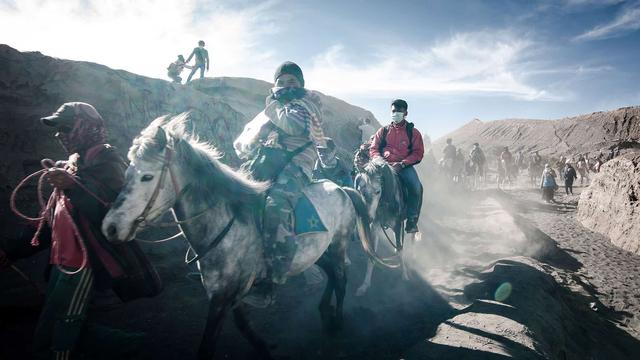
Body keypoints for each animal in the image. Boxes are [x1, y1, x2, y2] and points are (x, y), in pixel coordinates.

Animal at [102, 114, 388, 358]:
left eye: (147, 176)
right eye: (127, 172)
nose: (111, 227)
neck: (226, 223)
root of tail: (342, 189)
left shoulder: (221, 297)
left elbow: (208, 345)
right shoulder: (231, 292)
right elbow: (243, 326)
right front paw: (263, 348)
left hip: (338, 245)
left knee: (341, 279)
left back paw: (337, 321)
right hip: (317, 252)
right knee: (330, 273)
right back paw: (324, 310)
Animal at [350, 157, 416, 296]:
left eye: (378, 191)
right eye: (360, 189)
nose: (368, 217)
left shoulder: (397, 226)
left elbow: (401, 250)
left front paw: (405, 275)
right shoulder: (375, 227)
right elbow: (372, 256)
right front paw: (365, 285)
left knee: (412, 237)